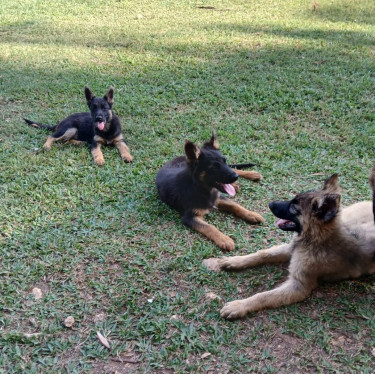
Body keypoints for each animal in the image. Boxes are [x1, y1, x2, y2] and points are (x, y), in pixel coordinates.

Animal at [204, 172, 375, 318]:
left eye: (294, 207)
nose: (270, 203)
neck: (316, 239)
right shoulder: (291, 247)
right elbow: (263, 254)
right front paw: (235, 260)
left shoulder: (299, 286)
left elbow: (264, 295)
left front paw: (239, 306)